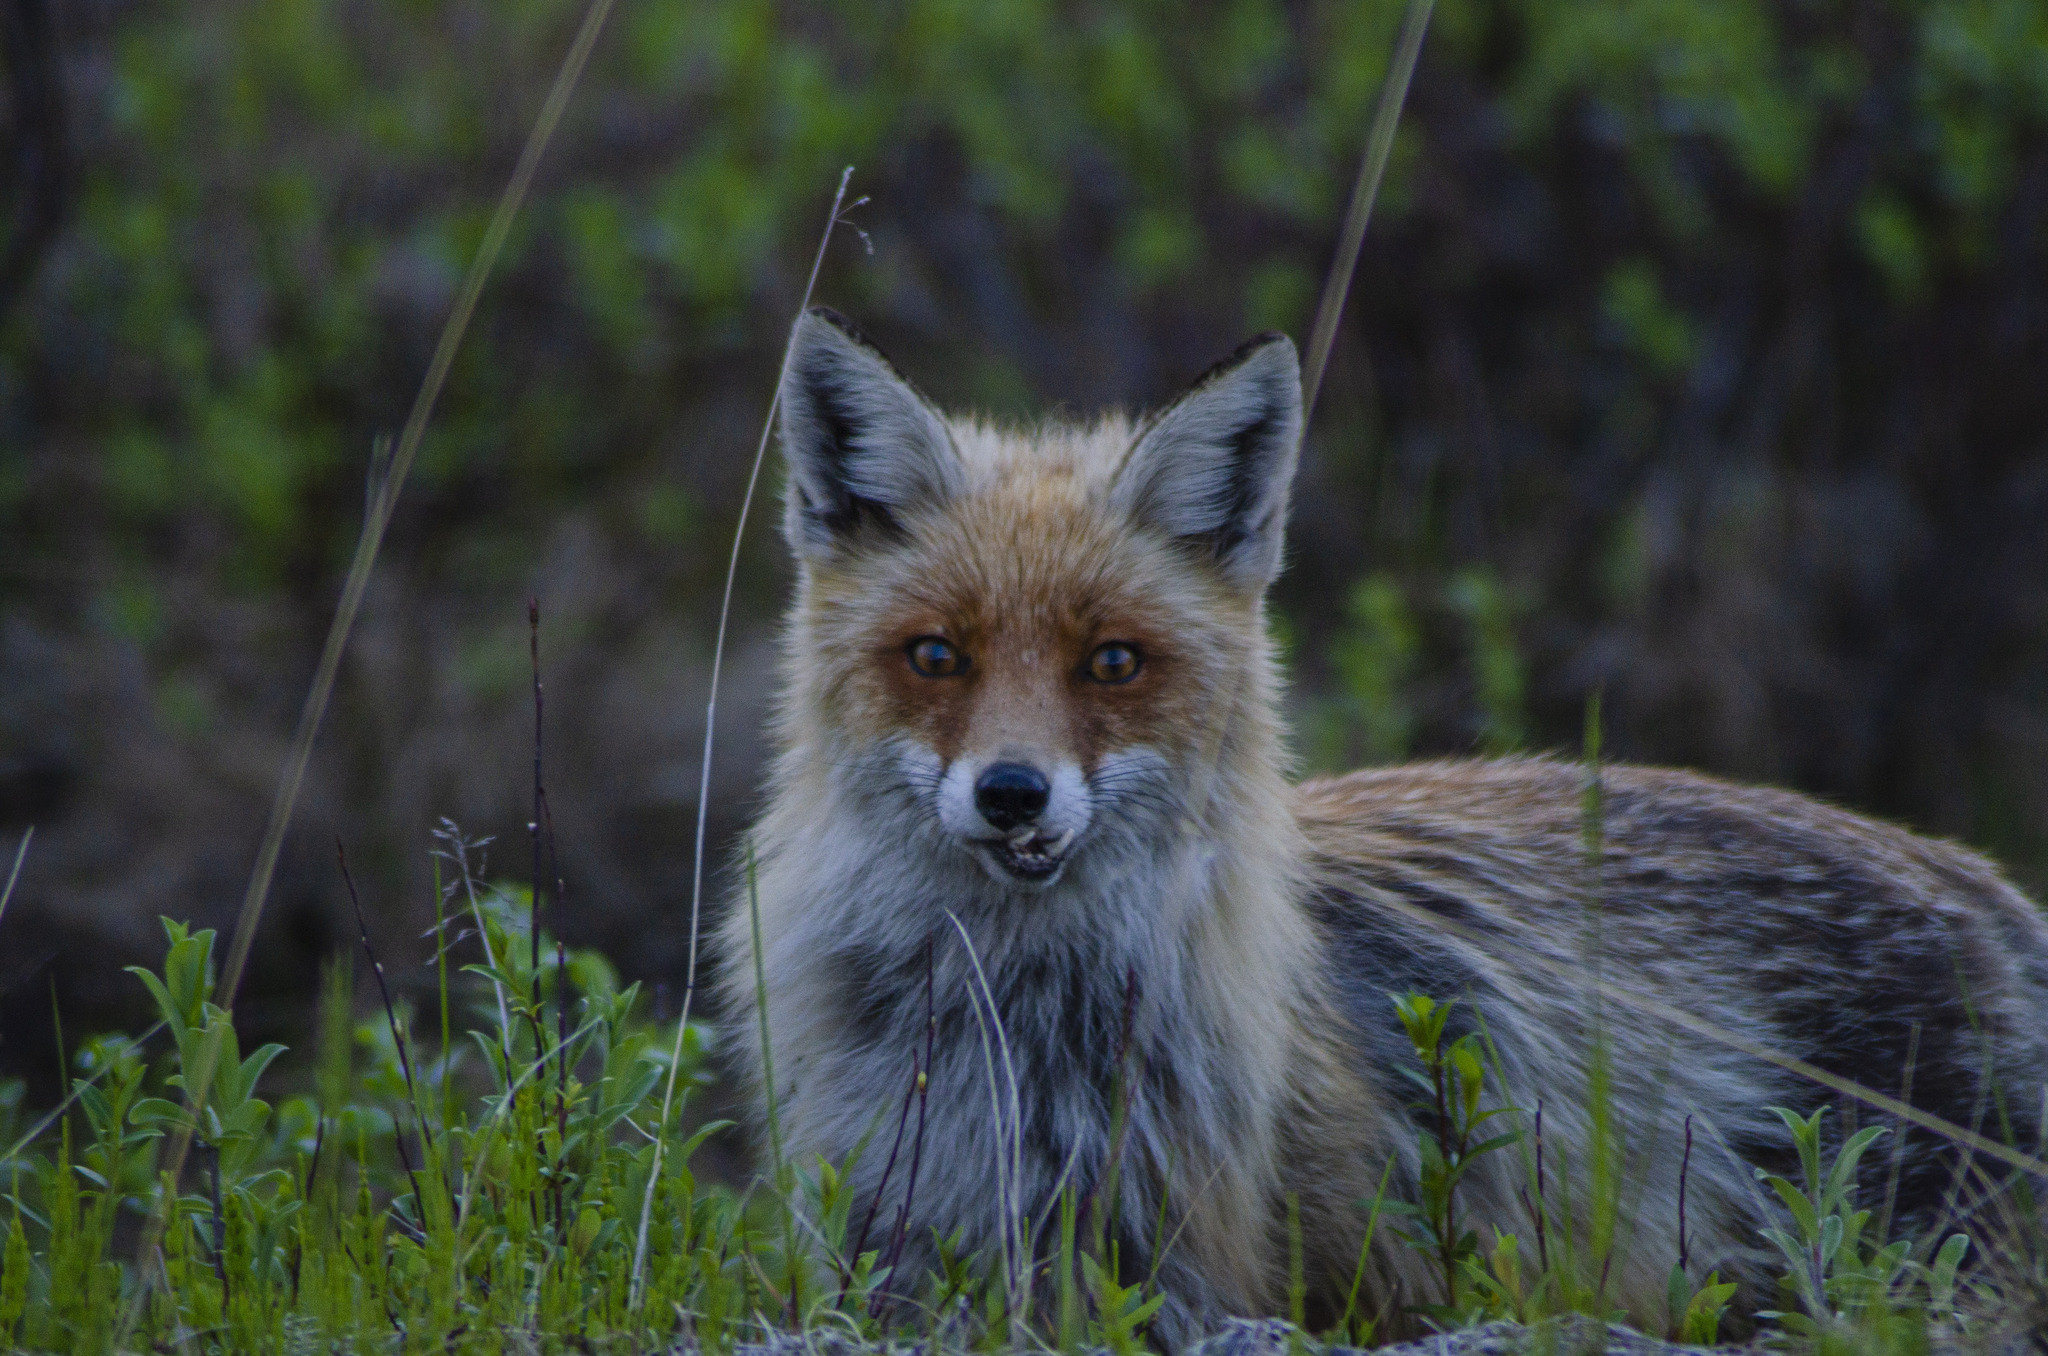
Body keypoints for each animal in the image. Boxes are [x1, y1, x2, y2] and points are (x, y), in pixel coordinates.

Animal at [720, 311, 2048, 1351]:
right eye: (936, 657)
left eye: (1112, 663)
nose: (1010, 793)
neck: (1008, 1039)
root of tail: (1979, 880)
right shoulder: (890, 1246)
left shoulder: (1243, 1278)